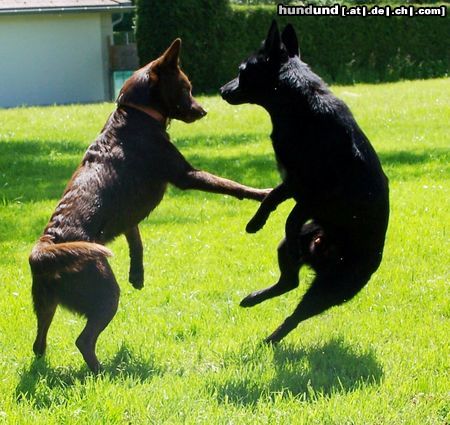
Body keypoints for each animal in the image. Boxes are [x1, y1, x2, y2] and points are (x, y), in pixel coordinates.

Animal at [29, 39, 268, 372]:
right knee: (83, 340)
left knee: (39, 342)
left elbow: (136, 241)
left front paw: (138, 275)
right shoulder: (185, 175)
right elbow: (231, 185)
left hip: (46, 304)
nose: (203, 110)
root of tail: (45, 247)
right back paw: (104, 372)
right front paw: (264, 193)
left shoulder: (130, 216)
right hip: (104, 293)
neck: (137, 114)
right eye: (186, 87)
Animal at [220, 21, 388, 342]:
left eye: (241, 70)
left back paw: (272, 339)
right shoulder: (292, 180)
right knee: (289, 282)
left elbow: (292, 213)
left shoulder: (314, 192)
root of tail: (321, 254)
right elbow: (272, 196)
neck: (298, 106)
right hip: (286, 249)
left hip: (331, 288)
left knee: (296, 313)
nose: (221, 90)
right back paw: (253, 299)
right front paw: (255, 223)